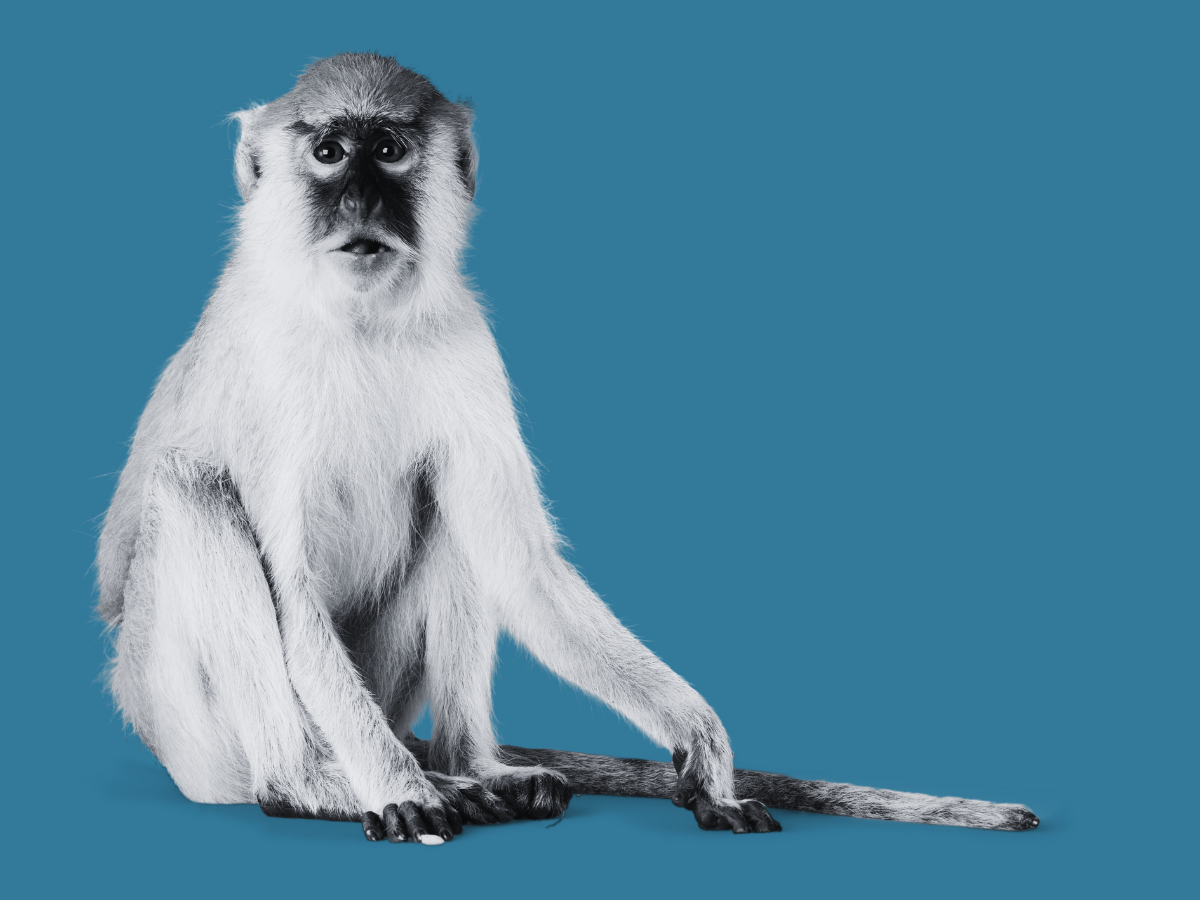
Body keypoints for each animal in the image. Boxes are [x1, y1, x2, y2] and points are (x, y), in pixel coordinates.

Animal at [96, 53, 1038, 845]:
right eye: (328, 153)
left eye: (389, 151)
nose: (361, 202)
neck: (360, 320)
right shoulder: (269, 371)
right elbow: (290, 590)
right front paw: (397, 790)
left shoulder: (466, 343)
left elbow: (520, 564)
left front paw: (700, 740)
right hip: (189, 726)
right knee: (192, 491)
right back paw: (315, 784)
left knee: (453, 516)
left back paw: (473, 768)